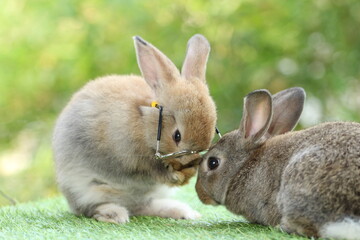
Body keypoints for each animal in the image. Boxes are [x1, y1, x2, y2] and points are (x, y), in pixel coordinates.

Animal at [53, 34, 217, 224]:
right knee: (92, 208)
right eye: (177, 136)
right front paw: (176, 177)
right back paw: (115, 215)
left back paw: (184, 212)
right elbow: (150, 169)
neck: (145, 121)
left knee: (145, 206)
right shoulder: (132, 159)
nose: (187, 164)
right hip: (86, 191)